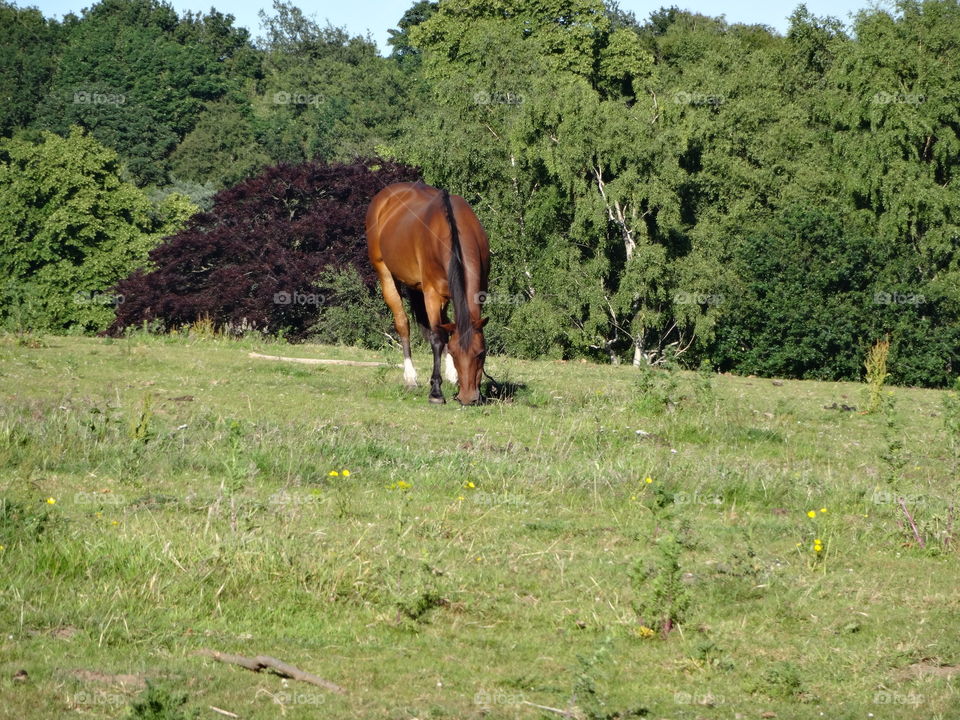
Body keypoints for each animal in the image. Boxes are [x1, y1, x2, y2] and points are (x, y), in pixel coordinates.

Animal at [366, 180, 492, 404]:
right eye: (456, 354)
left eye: (481, 353)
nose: (468, 398)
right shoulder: (432, 294)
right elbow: (437, 338)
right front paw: (435, 391)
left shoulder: (478, 292)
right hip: (386, 275)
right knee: (403, 324)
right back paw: (410, 378)